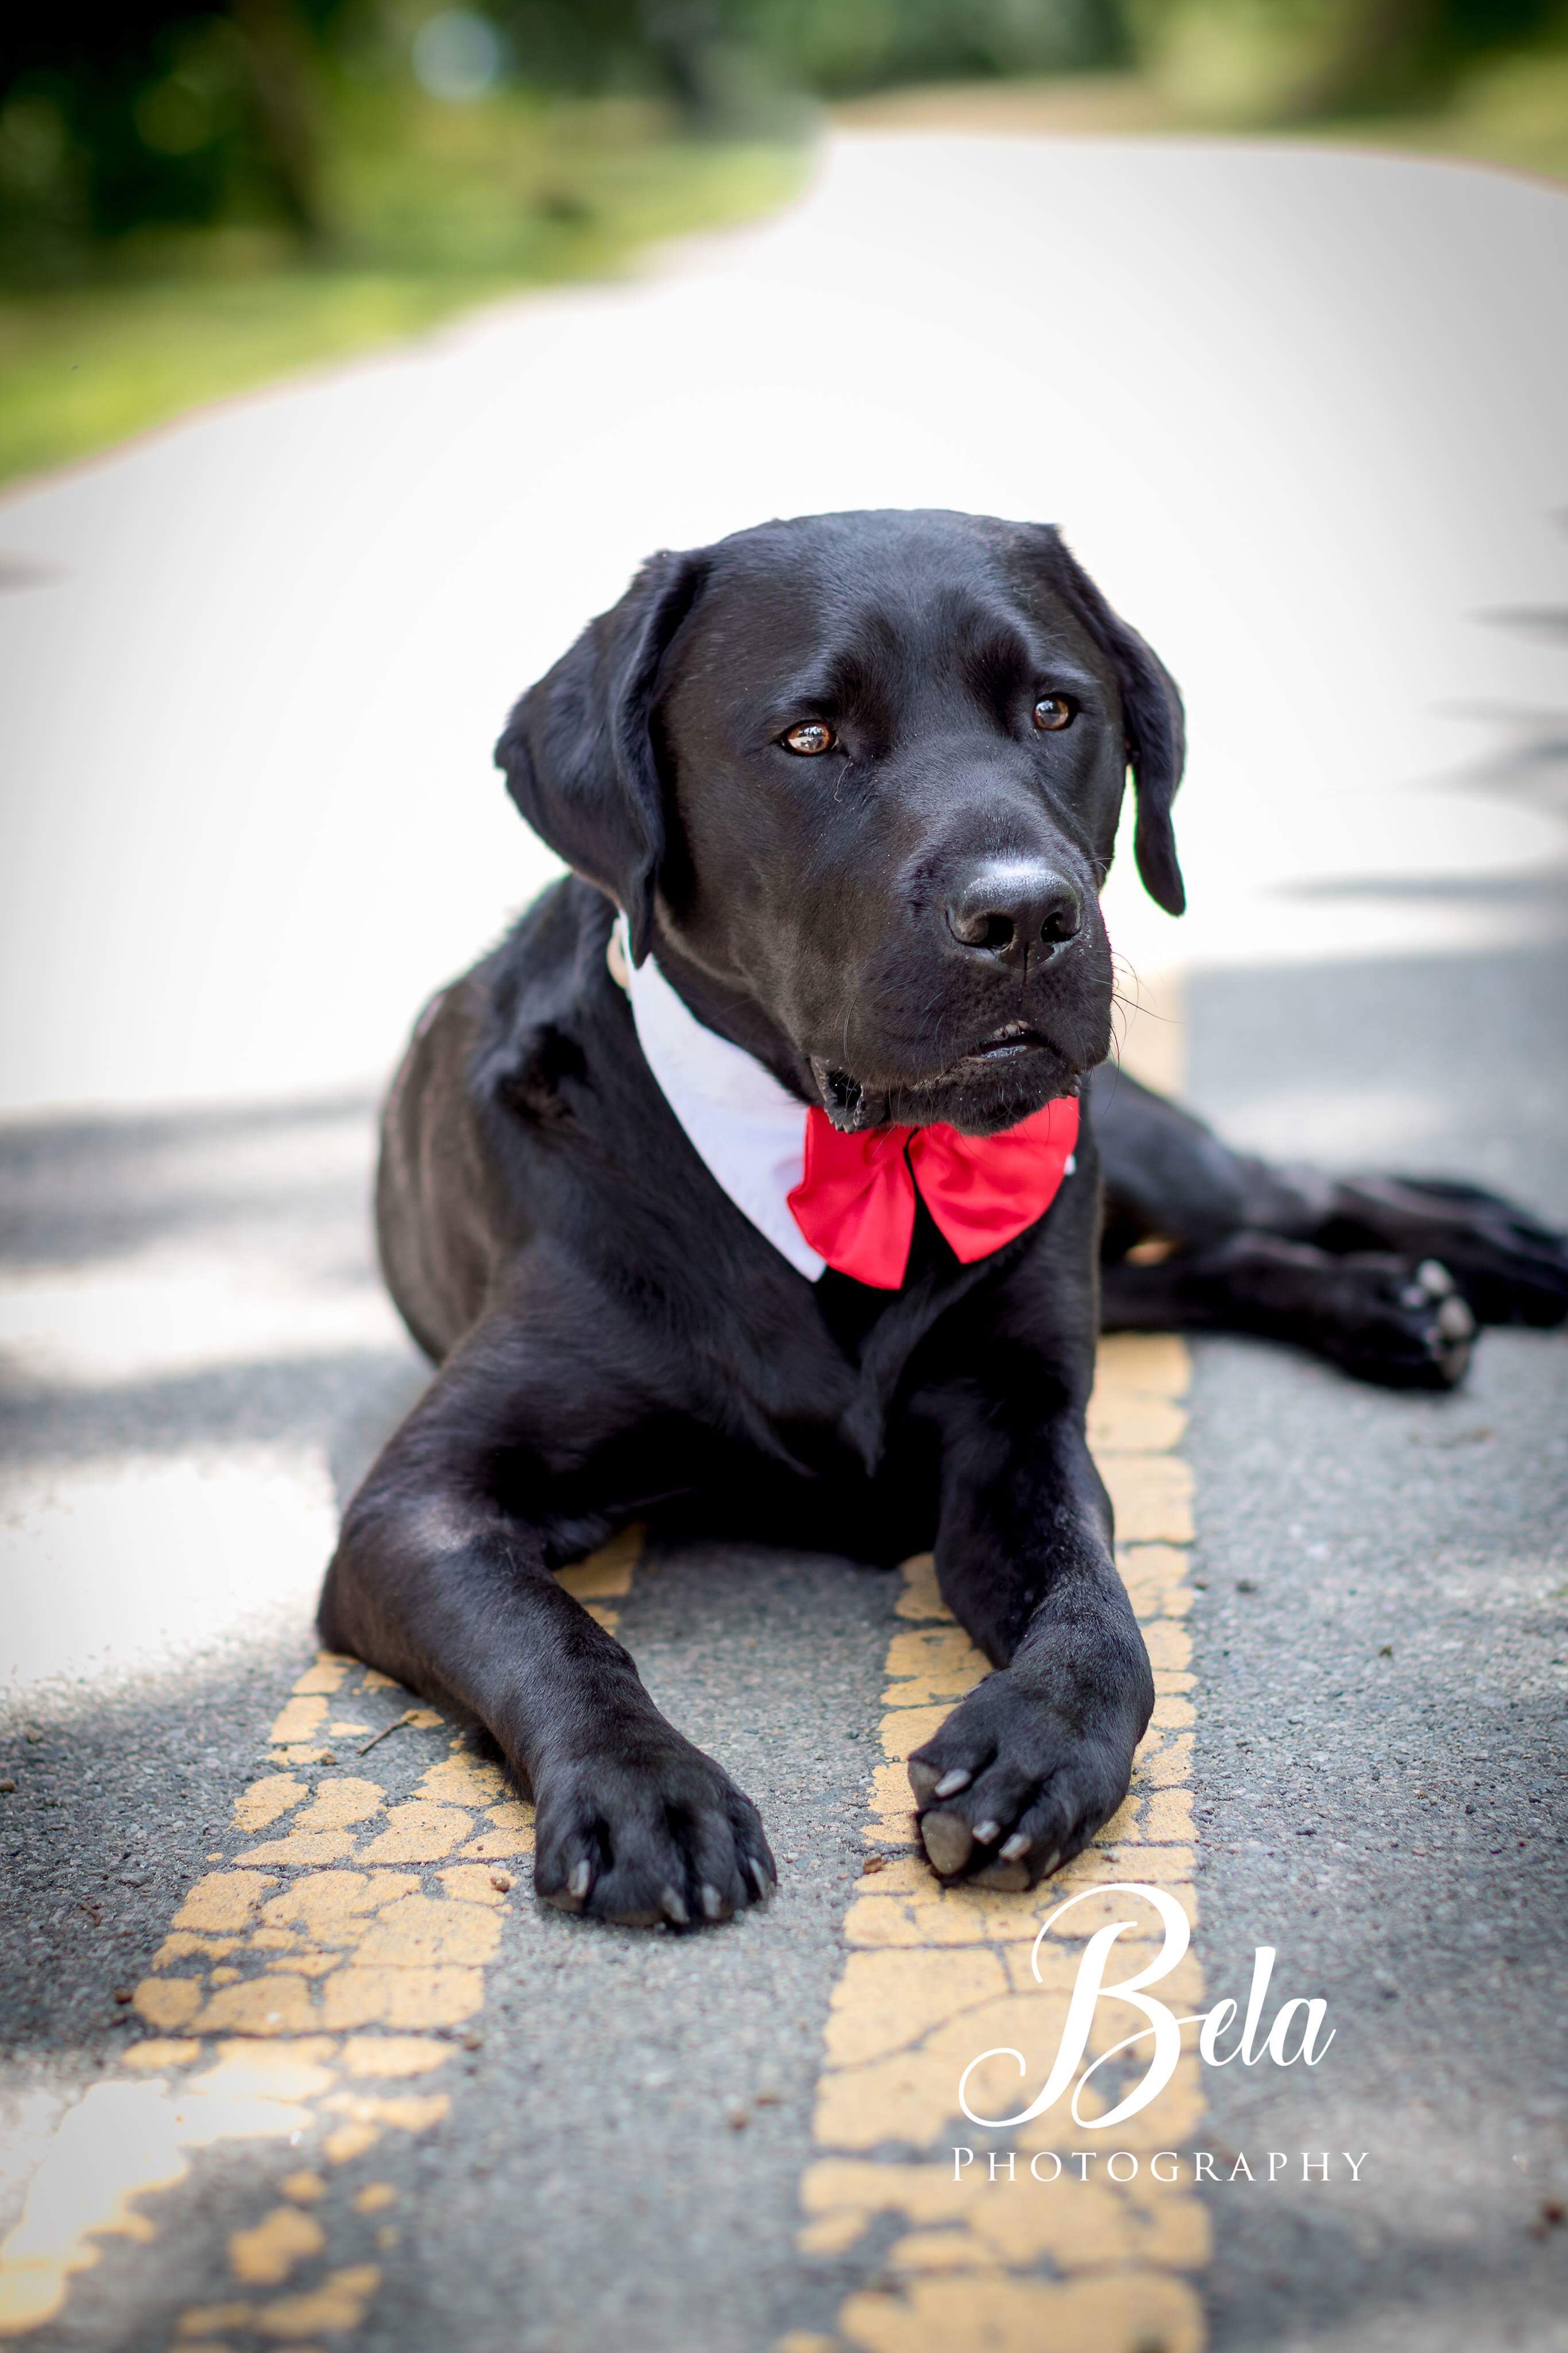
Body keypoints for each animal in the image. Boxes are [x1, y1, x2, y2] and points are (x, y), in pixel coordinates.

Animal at [322, 510, 1568, 1929]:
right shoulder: (421, 1506)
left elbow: (1099, 1604)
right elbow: (556, 1631)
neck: (865, 1165)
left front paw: (1039, 1746)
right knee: (1192, 1261)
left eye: (1055, 708)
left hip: (1125, 1152)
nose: (1024, 913)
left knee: (1283, 1191)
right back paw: (1395, 1304)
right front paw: (646, 1788)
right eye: (810, 736)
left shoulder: (1017, 1427)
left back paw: (1474, 1264)